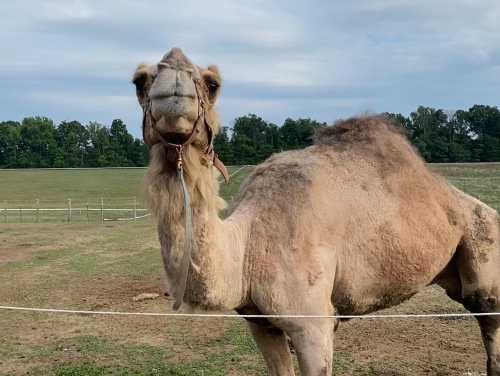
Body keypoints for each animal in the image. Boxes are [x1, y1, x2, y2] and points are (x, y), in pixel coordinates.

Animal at [133, 48, 500, 374]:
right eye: (138, 81)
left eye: (212, 84)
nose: (174, 79)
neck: (248, 246)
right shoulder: (258, 322)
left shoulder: (313, 324)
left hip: (486, 254)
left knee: (489, 319)